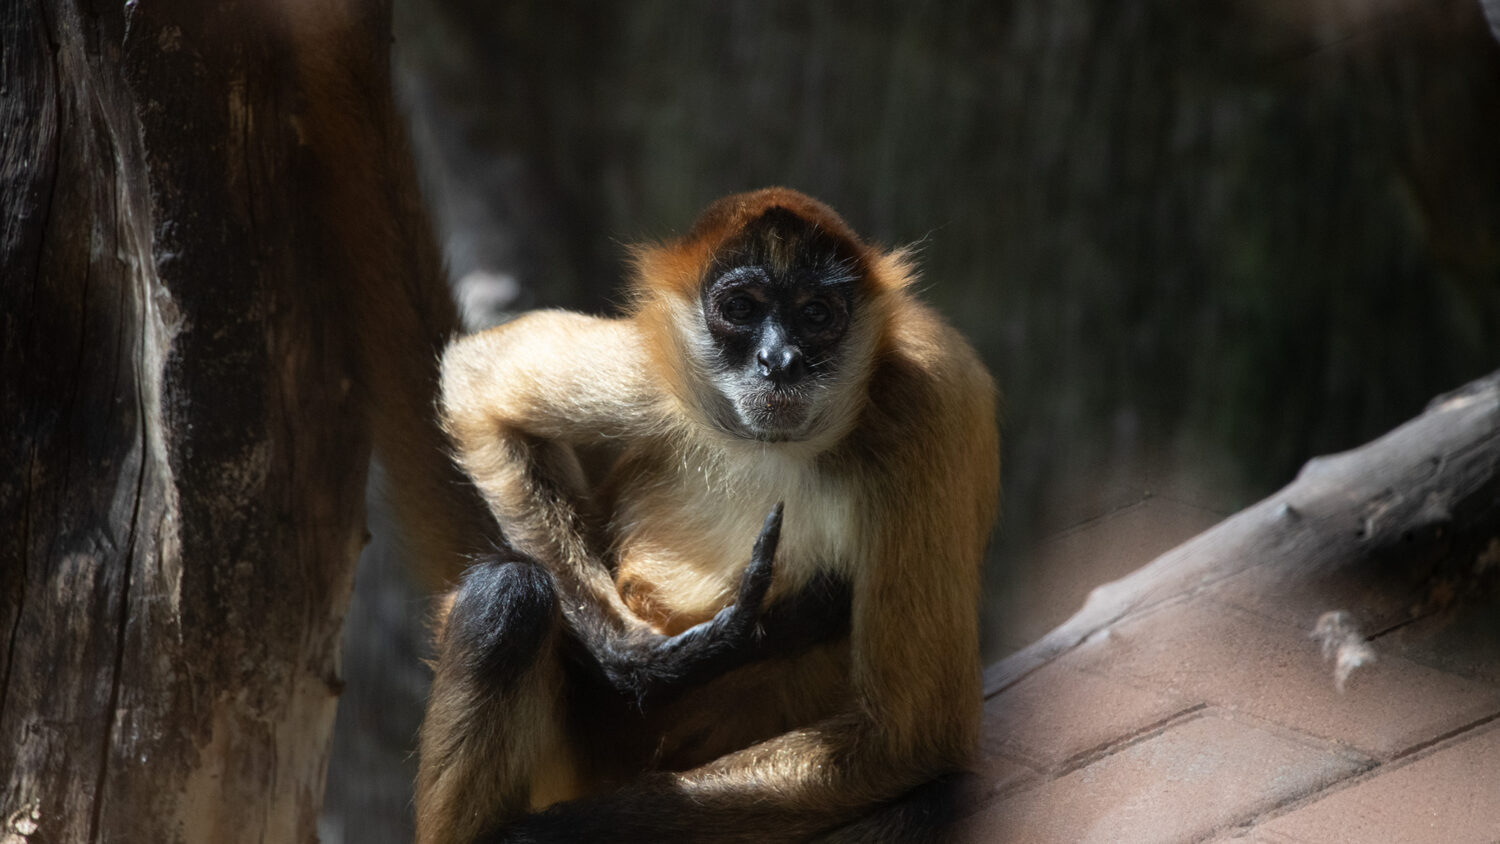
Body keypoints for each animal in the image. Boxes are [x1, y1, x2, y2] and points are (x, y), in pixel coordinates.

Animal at [418, 187, 1000, 843]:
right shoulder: (668, 369)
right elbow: (478, 384)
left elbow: (912, 738)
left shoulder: (927, 398)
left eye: (816, 315)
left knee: (925, 801)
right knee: (506, 594)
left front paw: (535, 836)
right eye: (741, 308)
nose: (780, 360)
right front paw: (650, 666)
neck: (778, 448)